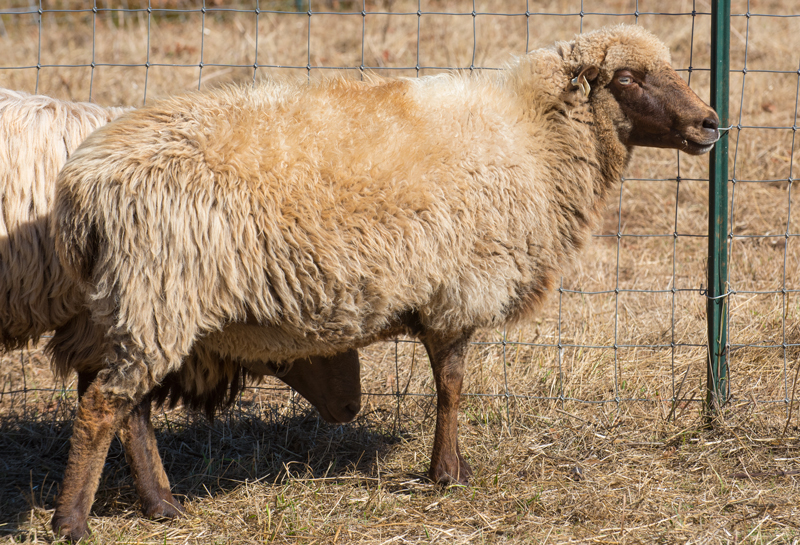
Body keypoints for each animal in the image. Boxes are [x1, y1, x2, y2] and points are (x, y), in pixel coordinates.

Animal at [51, 25, 720, 540]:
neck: (531, 137)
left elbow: (447, 385)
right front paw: (448, 474)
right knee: (103, 406)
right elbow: (451, 386)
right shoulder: (460, 289)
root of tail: (80, 187)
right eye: (627, 79)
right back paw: (72, 522)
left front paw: (448, 469)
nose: (710, 124)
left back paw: (161, 505)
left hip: (140, 303)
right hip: (160, 292)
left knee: (130, 409)